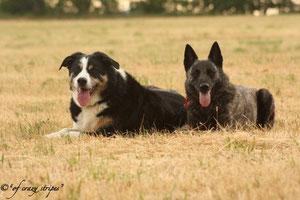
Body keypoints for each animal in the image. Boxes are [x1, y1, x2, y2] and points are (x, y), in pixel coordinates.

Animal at [45, 51, 185, 138]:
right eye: (76, 70)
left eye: (93, 70)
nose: (81, 80)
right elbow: (65, 130)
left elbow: (73, 134)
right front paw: (49, 135)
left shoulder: (109, 131)